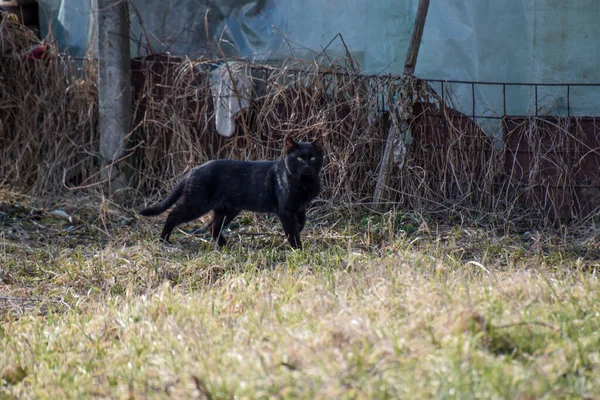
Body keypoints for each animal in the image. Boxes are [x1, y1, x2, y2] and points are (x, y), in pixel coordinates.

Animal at [140, 136, 324, 248]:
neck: (304, 183)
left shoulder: (299, 207)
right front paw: (297, 247)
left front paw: (297, 231)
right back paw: (164, 240)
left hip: (228, 209)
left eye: (313, 158)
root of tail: (194, 169)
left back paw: (225, 245)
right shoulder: (285, 209)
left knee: (212, 226)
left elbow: (302, 221)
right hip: (197, 203)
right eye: (299, 158)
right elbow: (292, 229)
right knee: (173, 214)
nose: (306, 166)